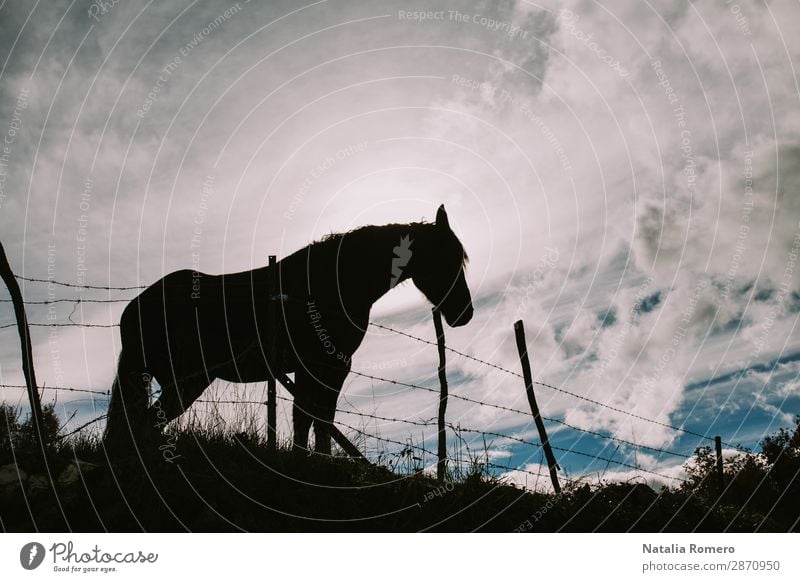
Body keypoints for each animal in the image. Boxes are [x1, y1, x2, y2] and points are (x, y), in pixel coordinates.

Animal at [103, 205, 472, 456]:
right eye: (448, 259)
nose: (465, 314)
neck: (331, 283)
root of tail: (132, 311)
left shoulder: (314, 369)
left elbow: (307, 418)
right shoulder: (328, 365)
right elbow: (317, 417)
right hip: (185, 380)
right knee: (146, 425)